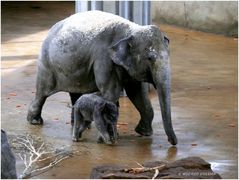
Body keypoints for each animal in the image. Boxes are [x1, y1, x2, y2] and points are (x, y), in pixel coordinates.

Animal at [27, 10, 177, 146]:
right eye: (150, 58)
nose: (173, 142)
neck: (131, 30)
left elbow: (137, 93)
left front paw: (143, 133)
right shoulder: (104, 59)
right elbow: (112, 92)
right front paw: (109, 139)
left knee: (75, 93)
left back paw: (80, 124)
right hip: (47, 65)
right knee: (43, 92)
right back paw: (35, 121)